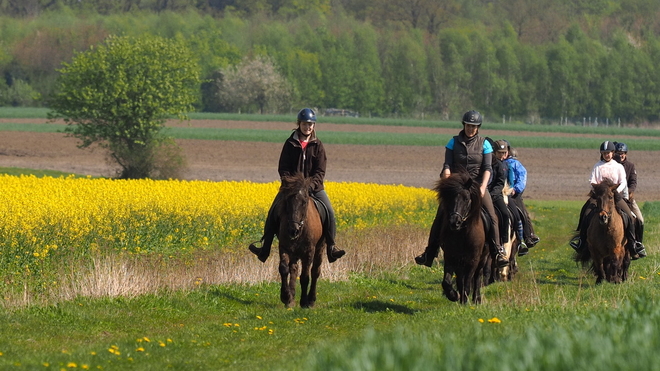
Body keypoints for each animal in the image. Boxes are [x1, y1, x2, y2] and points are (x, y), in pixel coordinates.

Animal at [274, 174, 324, 308]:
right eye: (287, 201)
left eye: (304, 202)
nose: (293, 230)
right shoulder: (284, 247)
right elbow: (284, 269)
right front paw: (286, 297)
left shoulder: (309, 251)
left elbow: (305, 276)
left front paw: (304, 302)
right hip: (295, 252)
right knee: (294, 269)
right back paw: (291, 298)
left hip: (320, 248)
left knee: (315, 271)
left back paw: (311, 299)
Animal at [438, 171, 490, 306]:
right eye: (449, 198)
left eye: (466, 199)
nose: (454, 222)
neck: (462, 234)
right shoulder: (451, 257)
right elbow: (447, 281)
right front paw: (453, 295)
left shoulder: (473, 260)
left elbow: (467, 283)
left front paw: (464, 301)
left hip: (483, 258)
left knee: (477, 277)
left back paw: (476, 299)